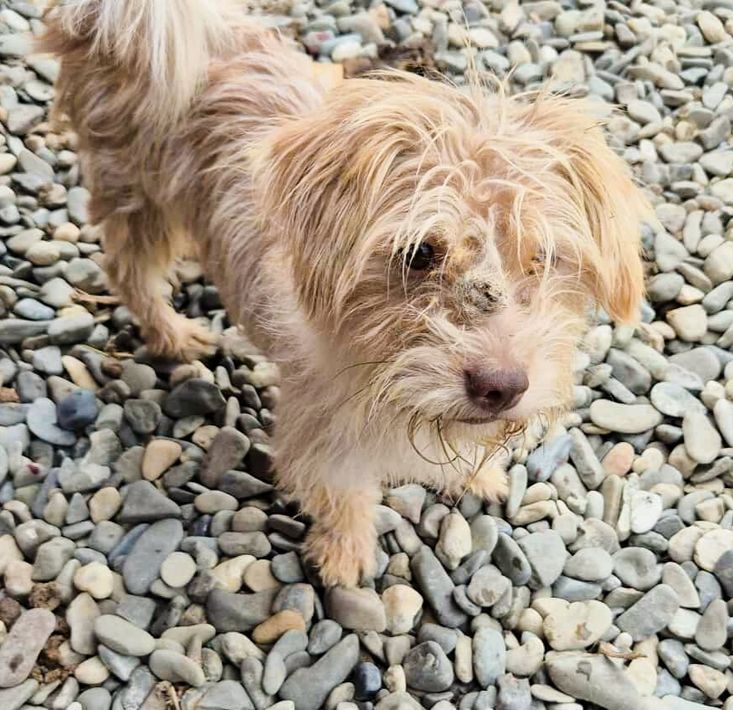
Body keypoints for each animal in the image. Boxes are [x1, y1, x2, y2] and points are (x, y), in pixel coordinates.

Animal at [43, 0, 650, 587]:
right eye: (419, 253)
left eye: (541, 256)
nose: (500, 387)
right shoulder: (318, 425)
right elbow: (341, 490)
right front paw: (346, 552)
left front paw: (477, 474)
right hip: (136, 196)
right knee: (128, 269)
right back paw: (171, 333)